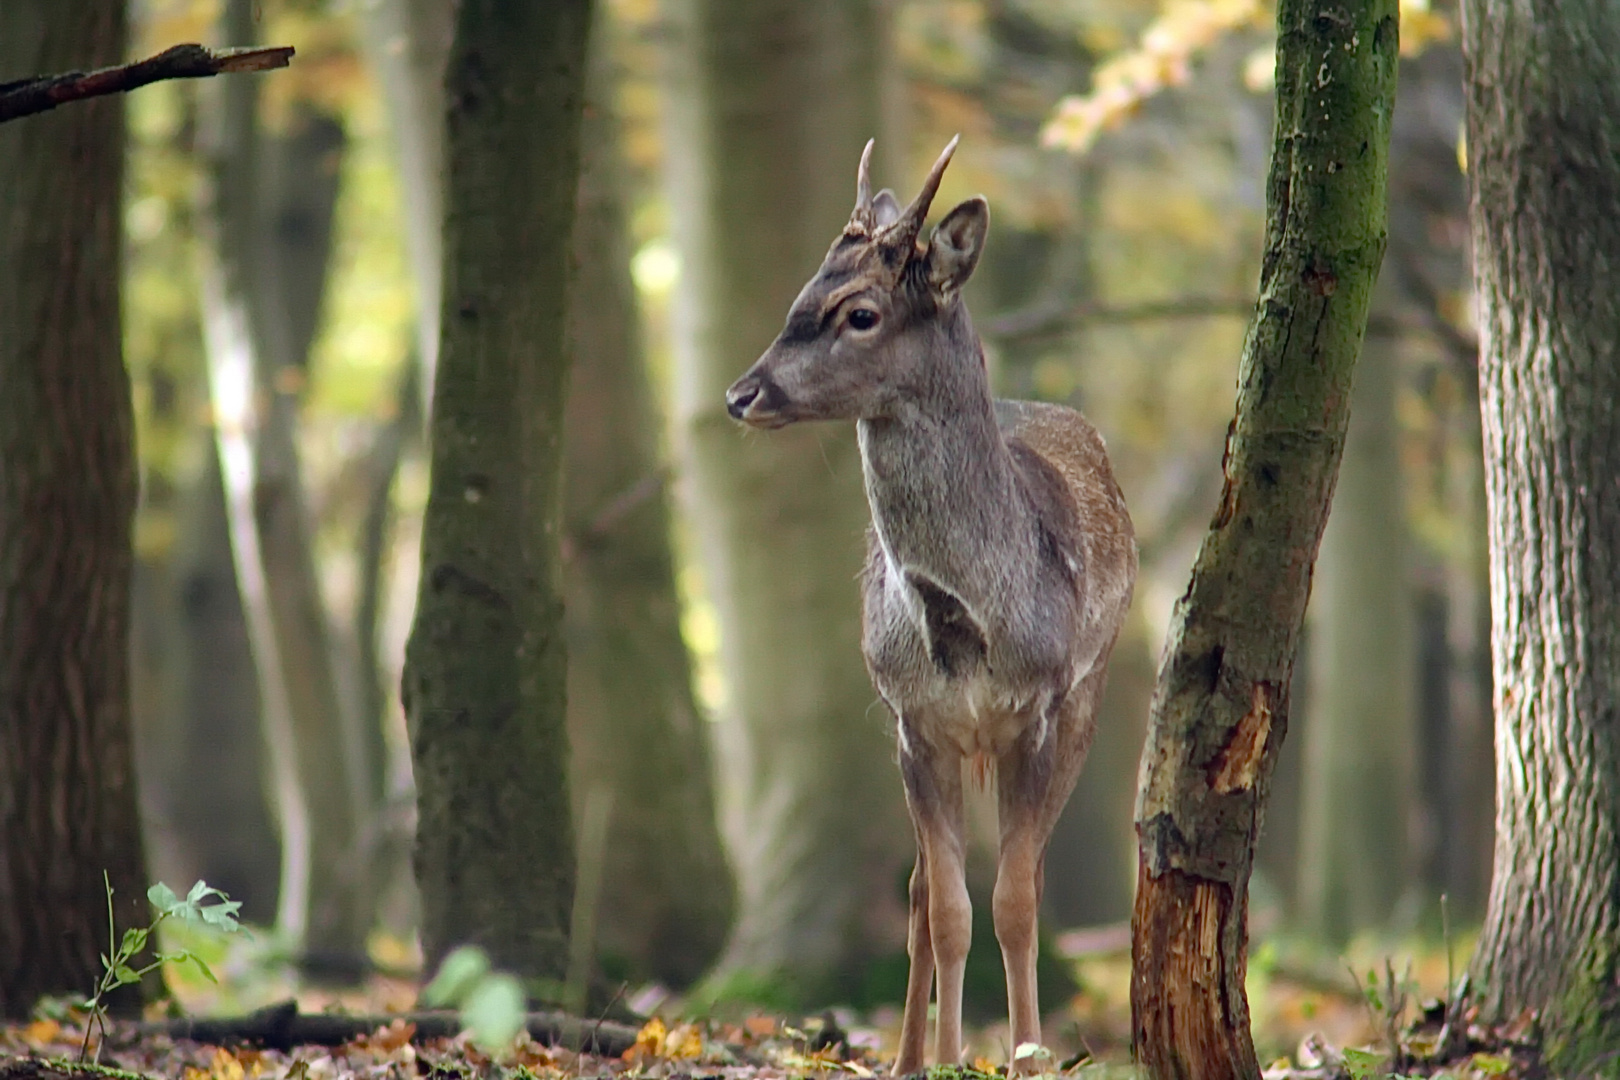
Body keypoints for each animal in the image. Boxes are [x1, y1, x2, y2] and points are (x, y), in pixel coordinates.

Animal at [729, 139, 1134, 1075]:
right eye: (800, 293)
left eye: (860, 313)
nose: (742, 395)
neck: (968, 627)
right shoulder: (914, 719)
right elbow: (945, 908)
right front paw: (945, 1056)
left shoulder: (1042, 708)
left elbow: (1015, 900)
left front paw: (1025, 1052)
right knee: (916, 895)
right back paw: (909, 1052)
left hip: (1091, 695)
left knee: (1030, 873)